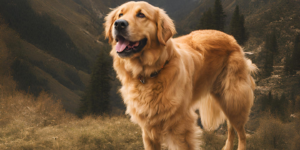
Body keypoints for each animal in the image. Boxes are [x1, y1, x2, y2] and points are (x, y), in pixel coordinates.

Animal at [104, 1, 256, 150]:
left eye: (141, 15)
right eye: (120, 14)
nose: (119, 24)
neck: (150, 73)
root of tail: (231, 38)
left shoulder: (180, 126)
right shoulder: (148, 129)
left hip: (233, 100)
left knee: (241, 133)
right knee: (231, 129)